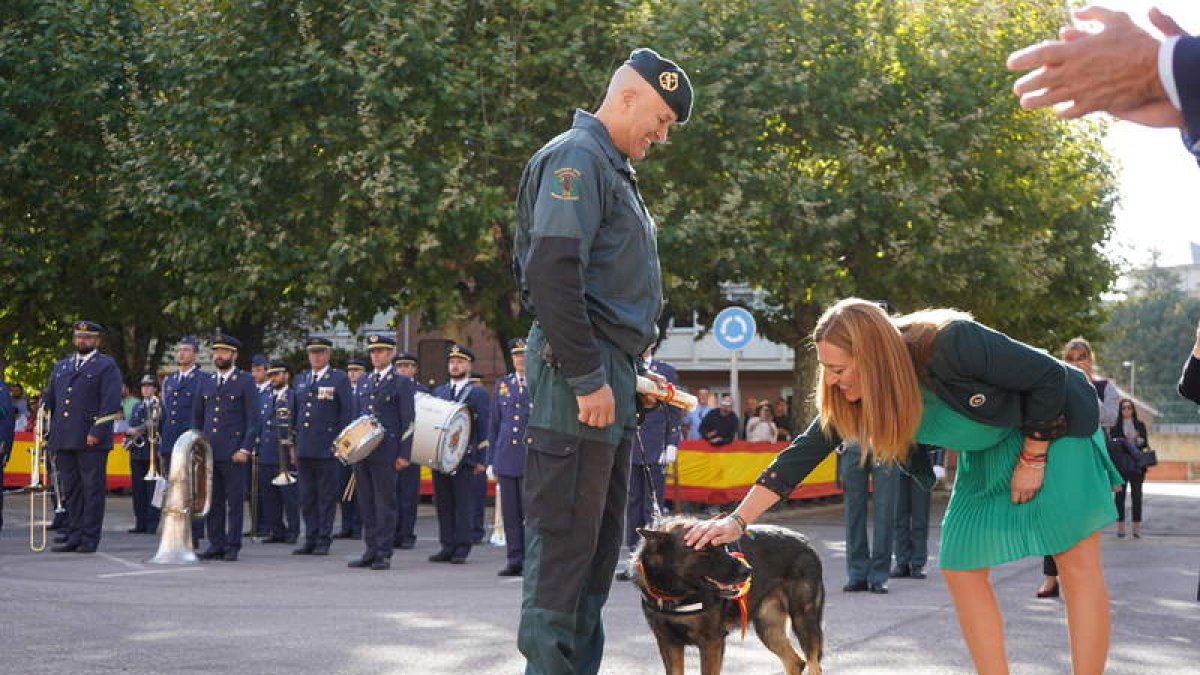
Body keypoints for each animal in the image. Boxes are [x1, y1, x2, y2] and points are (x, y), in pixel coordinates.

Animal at [633, 516, 820, 667]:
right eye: (702, 551)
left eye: (723, 547)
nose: (748, 571)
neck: (675, 594)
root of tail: (805, 542)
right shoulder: (669, 644)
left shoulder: (711, 643)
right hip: (768, 628)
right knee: (796, 663)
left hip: (803, 621)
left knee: (812, 664)